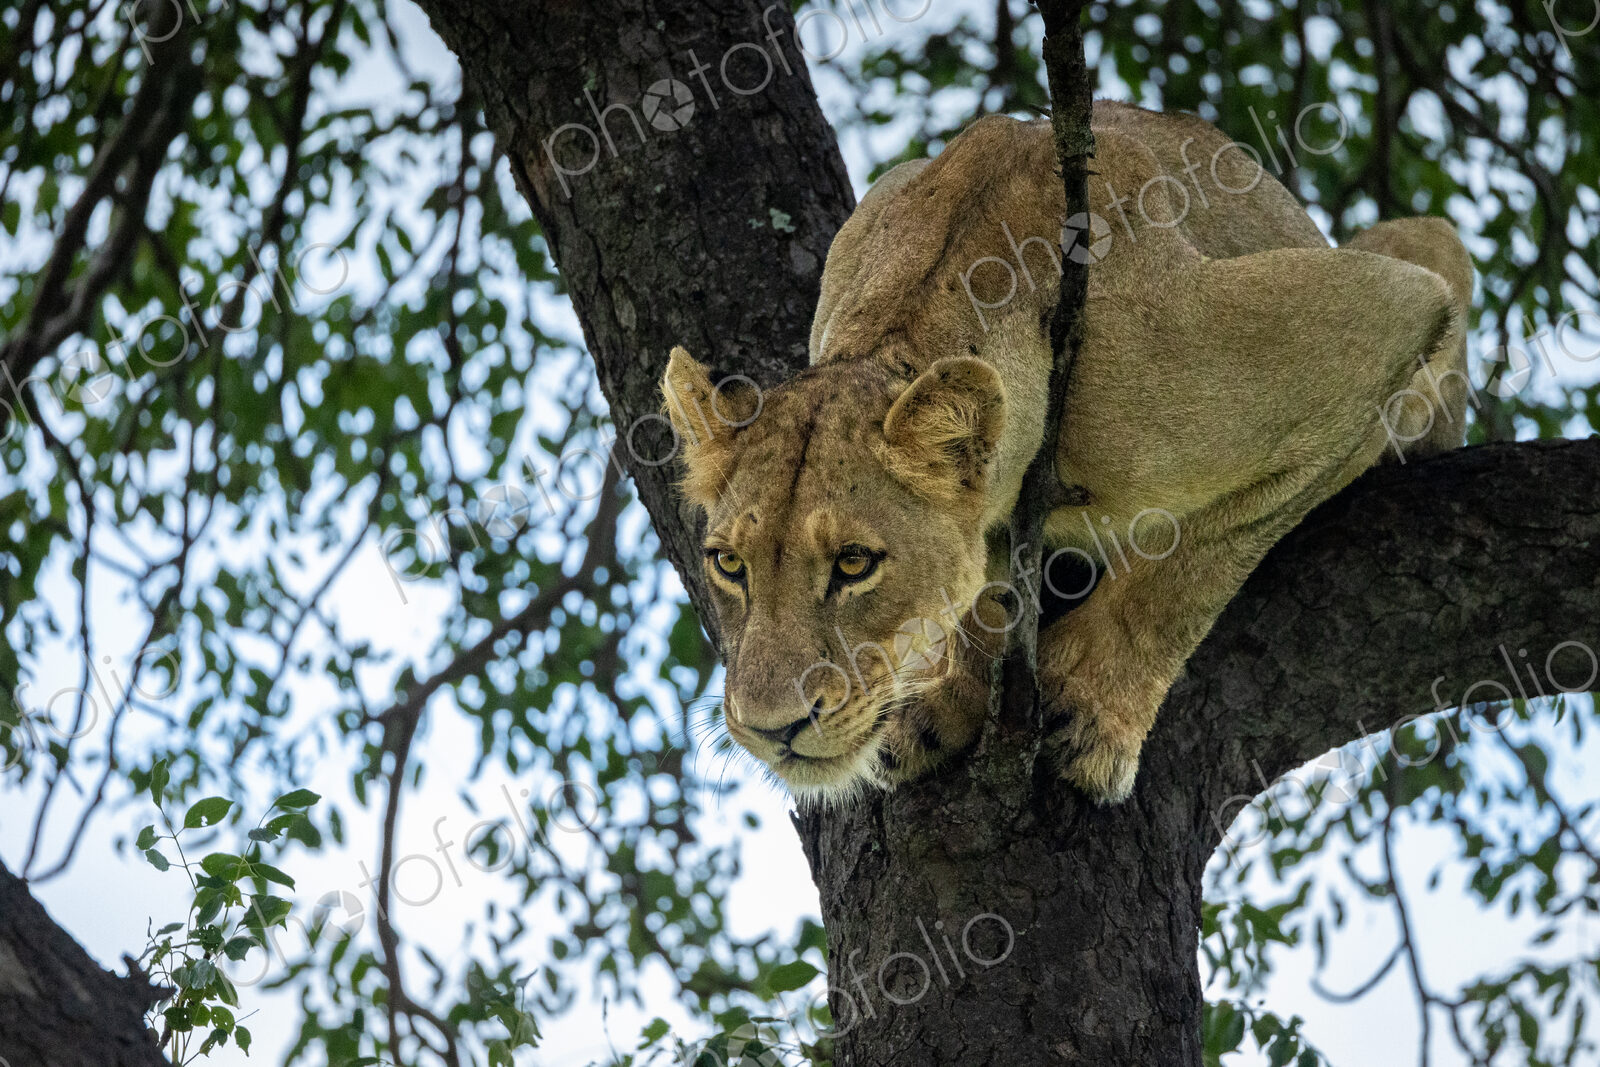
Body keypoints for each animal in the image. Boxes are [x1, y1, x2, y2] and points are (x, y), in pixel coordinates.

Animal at [661, 100, 1474, 804]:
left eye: (855, 564)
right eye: (728, 565)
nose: (773, 730)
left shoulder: (1380, 318)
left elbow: (1187, 571)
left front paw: (1089, 715)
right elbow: (985, 584)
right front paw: (947, 697)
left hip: (1421, 248)